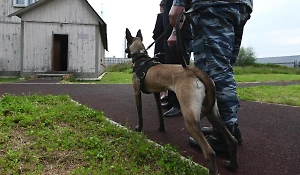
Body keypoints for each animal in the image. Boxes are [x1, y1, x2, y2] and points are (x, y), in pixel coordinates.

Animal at [125, 28, 238, 174]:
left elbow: (140, 114)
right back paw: (232, 165)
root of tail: (195, 71)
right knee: (232, 140)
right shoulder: (156, 93)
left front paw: (139, 128)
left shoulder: (136, 93)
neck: (141, 59)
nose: (125, 52)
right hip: (212, 113)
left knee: (210, 153)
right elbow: (160, 115)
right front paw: (161, 128)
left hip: (190, 118)